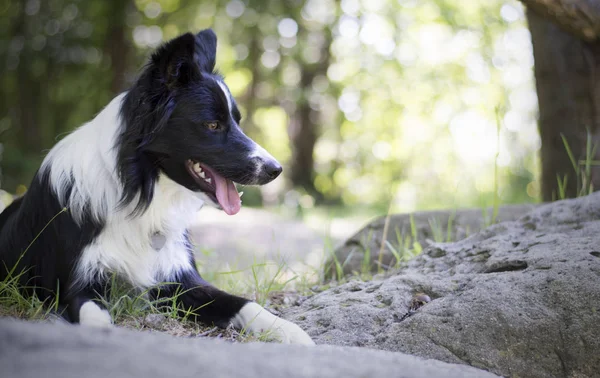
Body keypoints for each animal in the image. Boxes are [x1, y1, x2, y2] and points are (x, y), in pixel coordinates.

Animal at [0, 28, 314, 344]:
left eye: (237, 121)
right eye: (212, 125)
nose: (276, 170)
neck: (139, 193)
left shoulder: (179, 278)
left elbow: (245, 303)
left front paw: (290, 331)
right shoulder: (76, 285)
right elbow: (95, 317)